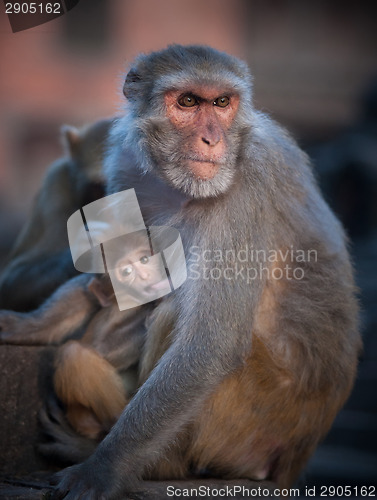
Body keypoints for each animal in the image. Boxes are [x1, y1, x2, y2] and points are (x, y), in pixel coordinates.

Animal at [0, 44, 360, 496]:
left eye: (222, 102)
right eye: (188, 101)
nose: (212, 139)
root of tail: (295, 456)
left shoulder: (245, 190)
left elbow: (210, 343)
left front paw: (101, 468)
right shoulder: (126, 166)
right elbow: (107, 281)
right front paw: (26, 325)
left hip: (247, 422)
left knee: (176, 313)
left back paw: (148, 463)